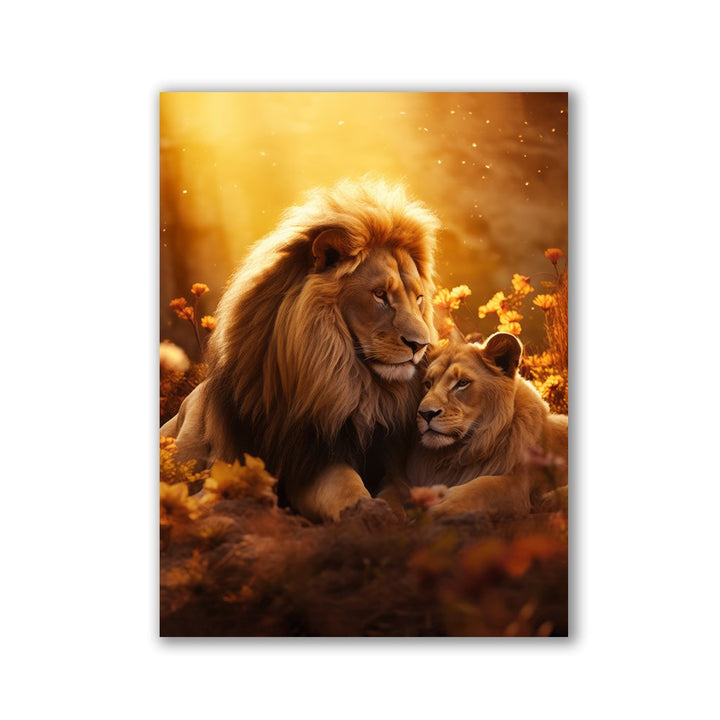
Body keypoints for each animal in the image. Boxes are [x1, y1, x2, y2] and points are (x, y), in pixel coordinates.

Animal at [161, 178, 440, 522]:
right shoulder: (306, 456)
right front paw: (369, 512)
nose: (420, 345)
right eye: (379, 294)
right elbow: (345, 485)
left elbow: (399, 492)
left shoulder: (387, 457)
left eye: (419, 298)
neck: (352, 385)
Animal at [400, 332, 568, 518]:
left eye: (462, 383)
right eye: (428, 384)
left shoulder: (518, 486)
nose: (425, 413)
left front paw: (437, 507)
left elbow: (482, 487)